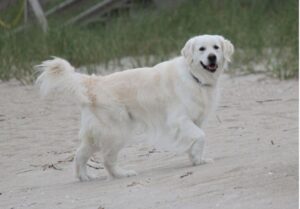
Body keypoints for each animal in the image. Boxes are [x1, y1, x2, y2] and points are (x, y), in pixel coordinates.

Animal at [36, 35, 234, 180]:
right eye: (202, 49)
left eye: (216, 47)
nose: (211, 57)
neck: (195, 77)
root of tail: (94, 82)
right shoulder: (179, 120)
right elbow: (201, 136)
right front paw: (197, 159)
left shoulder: (195, 120)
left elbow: (196, 141)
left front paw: (197, 160)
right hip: (117, 131)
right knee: (107, 159)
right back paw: (122, 174)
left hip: (97, 134)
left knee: (80, 154)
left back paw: (86, 177)